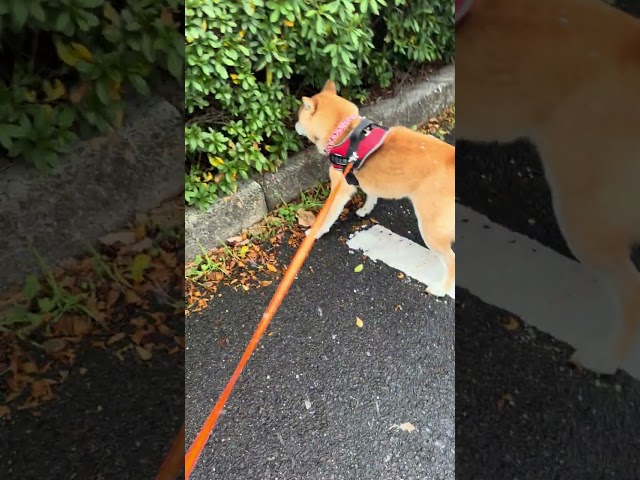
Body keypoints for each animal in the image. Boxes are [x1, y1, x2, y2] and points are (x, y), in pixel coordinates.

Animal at [294, 80, 455, 297]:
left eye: (299, 116)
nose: (295, 125)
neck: (346, 133)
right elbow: (371, 195)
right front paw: (365, 209)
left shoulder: (339, 190)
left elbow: (326, 218)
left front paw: (315, 232)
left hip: (431, 228)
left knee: (451, 260)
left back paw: (440, 289)